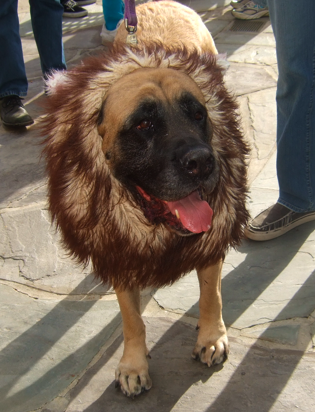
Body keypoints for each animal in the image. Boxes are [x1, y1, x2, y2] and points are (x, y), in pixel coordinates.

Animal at [41, 0, 249, 400]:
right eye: (143, 125)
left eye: (198, 114)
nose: (203, 162)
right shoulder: (119, 249)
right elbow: (131, 320)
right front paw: (133, 365)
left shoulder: (212, 238)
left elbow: (210, 294)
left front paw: (211, 337)